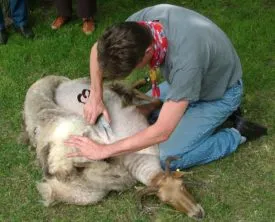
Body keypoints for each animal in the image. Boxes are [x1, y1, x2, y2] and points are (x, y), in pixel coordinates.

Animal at [22, 75, 205, 219]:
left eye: (182, 185)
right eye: (165, 201)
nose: (198, 214)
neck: (137, 157)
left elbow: (156, 101)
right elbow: (152, 100)